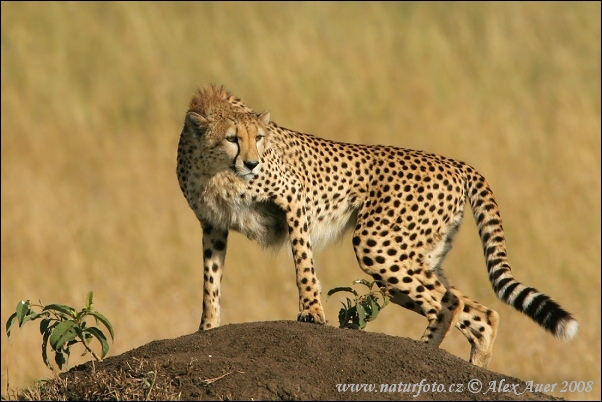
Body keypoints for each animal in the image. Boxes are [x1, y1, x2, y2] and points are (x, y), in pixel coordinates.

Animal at [177, 84, 576, 368]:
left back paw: (424, 354)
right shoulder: (212, 225)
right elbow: (210, 280)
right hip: (412, 257)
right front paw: (206, 328)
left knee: (451, 302)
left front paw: (312, 313)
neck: (215, 169)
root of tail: (454, 162)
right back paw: (465, 366)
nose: (252, 163)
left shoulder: (294, 198)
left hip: (376, 245)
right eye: (232, 138)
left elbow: (303, 263)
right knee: (480, 313)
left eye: (258, 137)